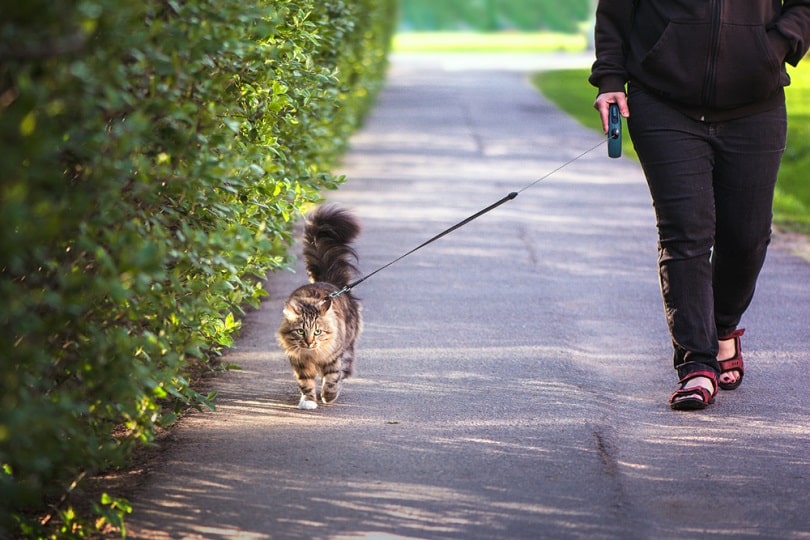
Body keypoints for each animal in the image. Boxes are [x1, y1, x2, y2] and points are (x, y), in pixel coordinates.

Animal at [280, 206, 364, 410]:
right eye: (300, 331)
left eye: (317, 332)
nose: (309, 342)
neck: (313, 354)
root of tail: (329, 282)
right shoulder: (299, 361)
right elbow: (305, 382)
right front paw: (309, 400)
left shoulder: (333, 357)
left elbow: (332, 378)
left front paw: (329, 396)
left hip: (347, 348)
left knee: (344, 369)